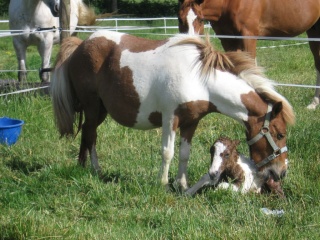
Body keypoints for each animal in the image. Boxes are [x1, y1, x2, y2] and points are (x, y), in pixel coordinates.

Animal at [50, 30, 296, 191]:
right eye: (280, 134)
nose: (280, 172)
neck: (200, 81)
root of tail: (80, 45)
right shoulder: (171, 119)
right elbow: (167, 152)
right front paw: (163, 184)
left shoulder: (191, 122)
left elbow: (185, 154)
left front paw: (182, 184)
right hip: (92, 106)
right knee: (91, 135)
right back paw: (95, 169)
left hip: (100, 110)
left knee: (85, 132)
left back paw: (82, 167)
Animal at [178, 0, 320, 109]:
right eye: (179, 19)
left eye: (200, 19)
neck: (229, 3)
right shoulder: (227, 39)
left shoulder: (248, 36)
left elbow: (251, 67)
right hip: (313, 31)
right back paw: (314, 103)